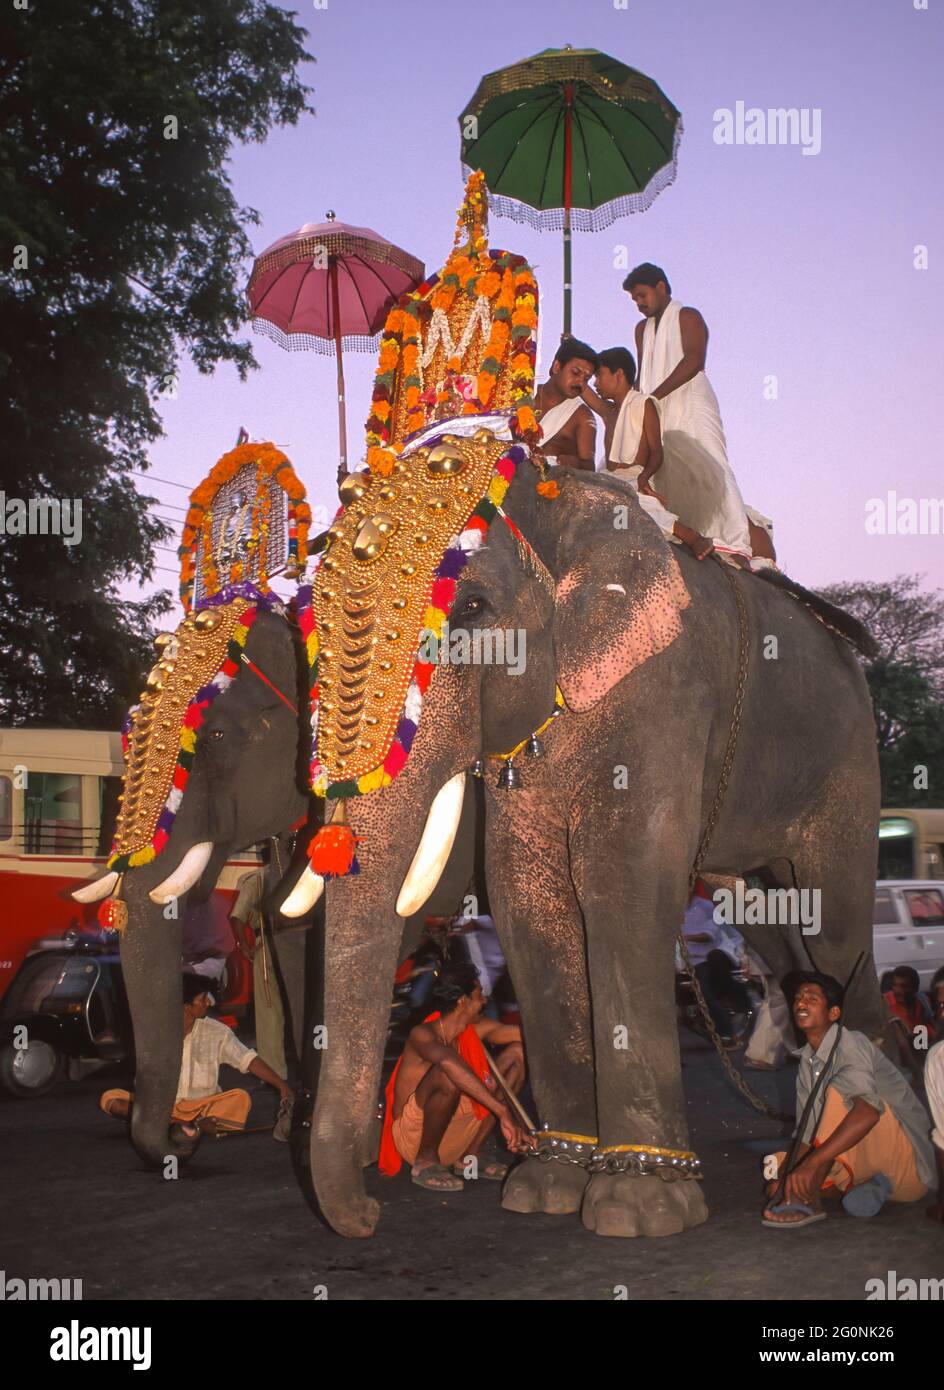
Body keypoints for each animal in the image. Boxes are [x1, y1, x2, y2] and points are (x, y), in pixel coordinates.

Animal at [282, 453, 884, 1239]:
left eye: (471, 608)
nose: (368, 1215)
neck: (558, 497)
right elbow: (524, 898)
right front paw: (545, 1186)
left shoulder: (664, 691)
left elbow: (621, 886)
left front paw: (638, 1207)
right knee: (775, 930)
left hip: (847, 756)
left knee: (835, 924)